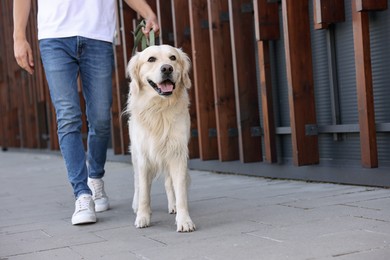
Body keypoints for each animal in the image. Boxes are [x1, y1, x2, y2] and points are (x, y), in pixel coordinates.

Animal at [125, 44, 195, 232]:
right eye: (151, 59)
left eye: (173, 58)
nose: (167, 69)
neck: (159, 109)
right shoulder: (143, 156)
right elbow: (144, 192)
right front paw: (143, 216)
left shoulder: (177, 153)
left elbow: (180, 191)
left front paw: (184, 220)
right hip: (135, 154)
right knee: (137, 182)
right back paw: (135, 205)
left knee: (169, 183)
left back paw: (173, 206)